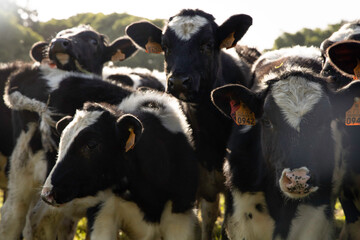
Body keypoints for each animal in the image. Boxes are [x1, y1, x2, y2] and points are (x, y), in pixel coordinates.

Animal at [0, 25, 138, 239]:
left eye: (93, 41)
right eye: (58, 36)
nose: (57, 43)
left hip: (22, 164)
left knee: (12, 217)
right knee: (38, 220)